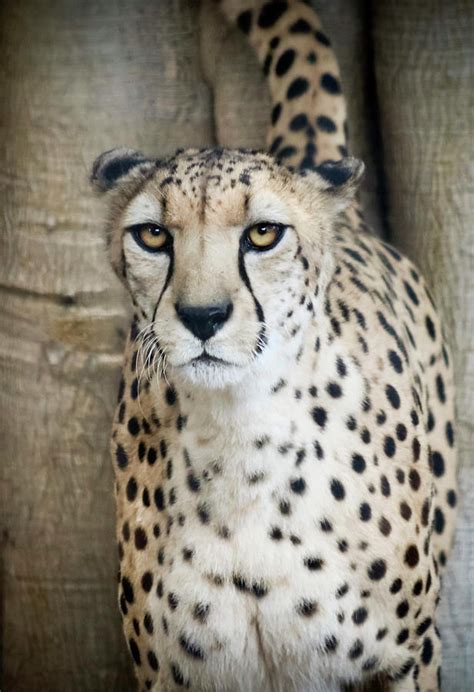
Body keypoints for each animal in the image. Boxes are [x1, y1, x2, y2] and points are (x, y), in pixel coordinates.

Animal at [90, 1, 458, 692]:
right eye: (153, 235)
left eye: (263, 234)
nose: (203, 316)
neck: (239, 437)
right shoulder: (171, 673)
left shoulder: (405, 655)